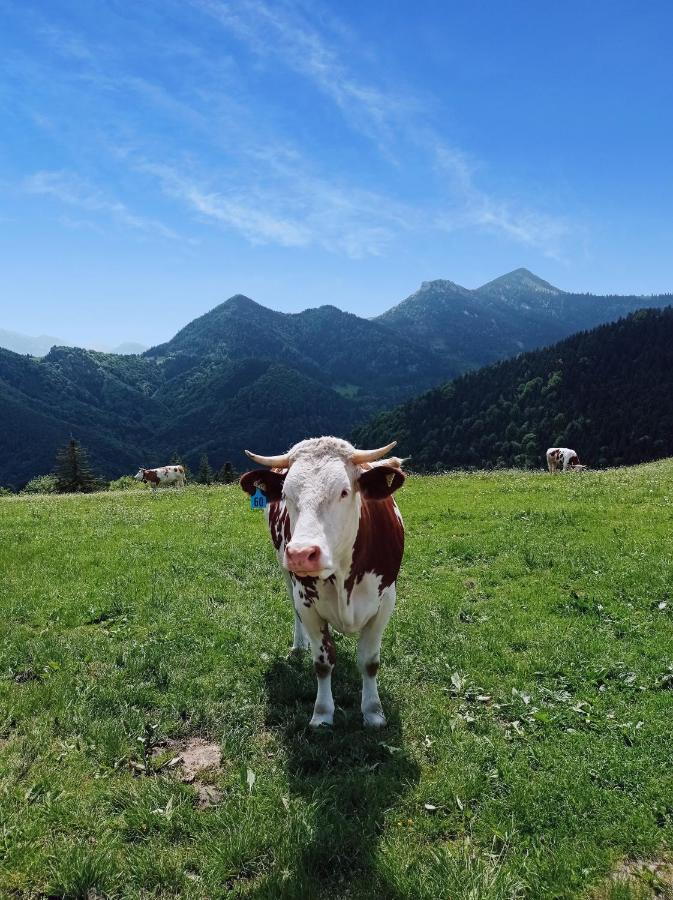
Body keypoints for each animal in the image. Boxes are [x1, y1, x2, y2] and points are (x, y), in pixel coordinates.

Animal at [240, 438, 404, 732]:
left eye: (344, 491)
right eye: (287, 494)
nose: (301, 553)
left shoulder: (385, 601)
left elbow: (370, 662)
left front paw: (373, 711)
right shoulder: (307, 604)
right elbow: (323, 663)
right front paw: (323, 713)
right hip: (285, 570)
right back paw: (298, 645)